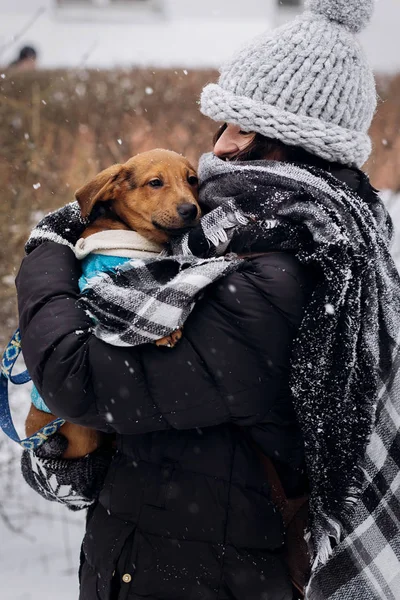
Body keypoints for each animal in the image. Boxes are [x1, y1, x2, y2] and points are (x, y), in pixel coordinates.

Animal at [26, 150, 200, 460]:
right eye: (155, 183)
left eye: (192, 180)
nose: (191, 210)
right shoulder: (96, 287)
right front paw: (164, 331)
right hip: (80, 436)